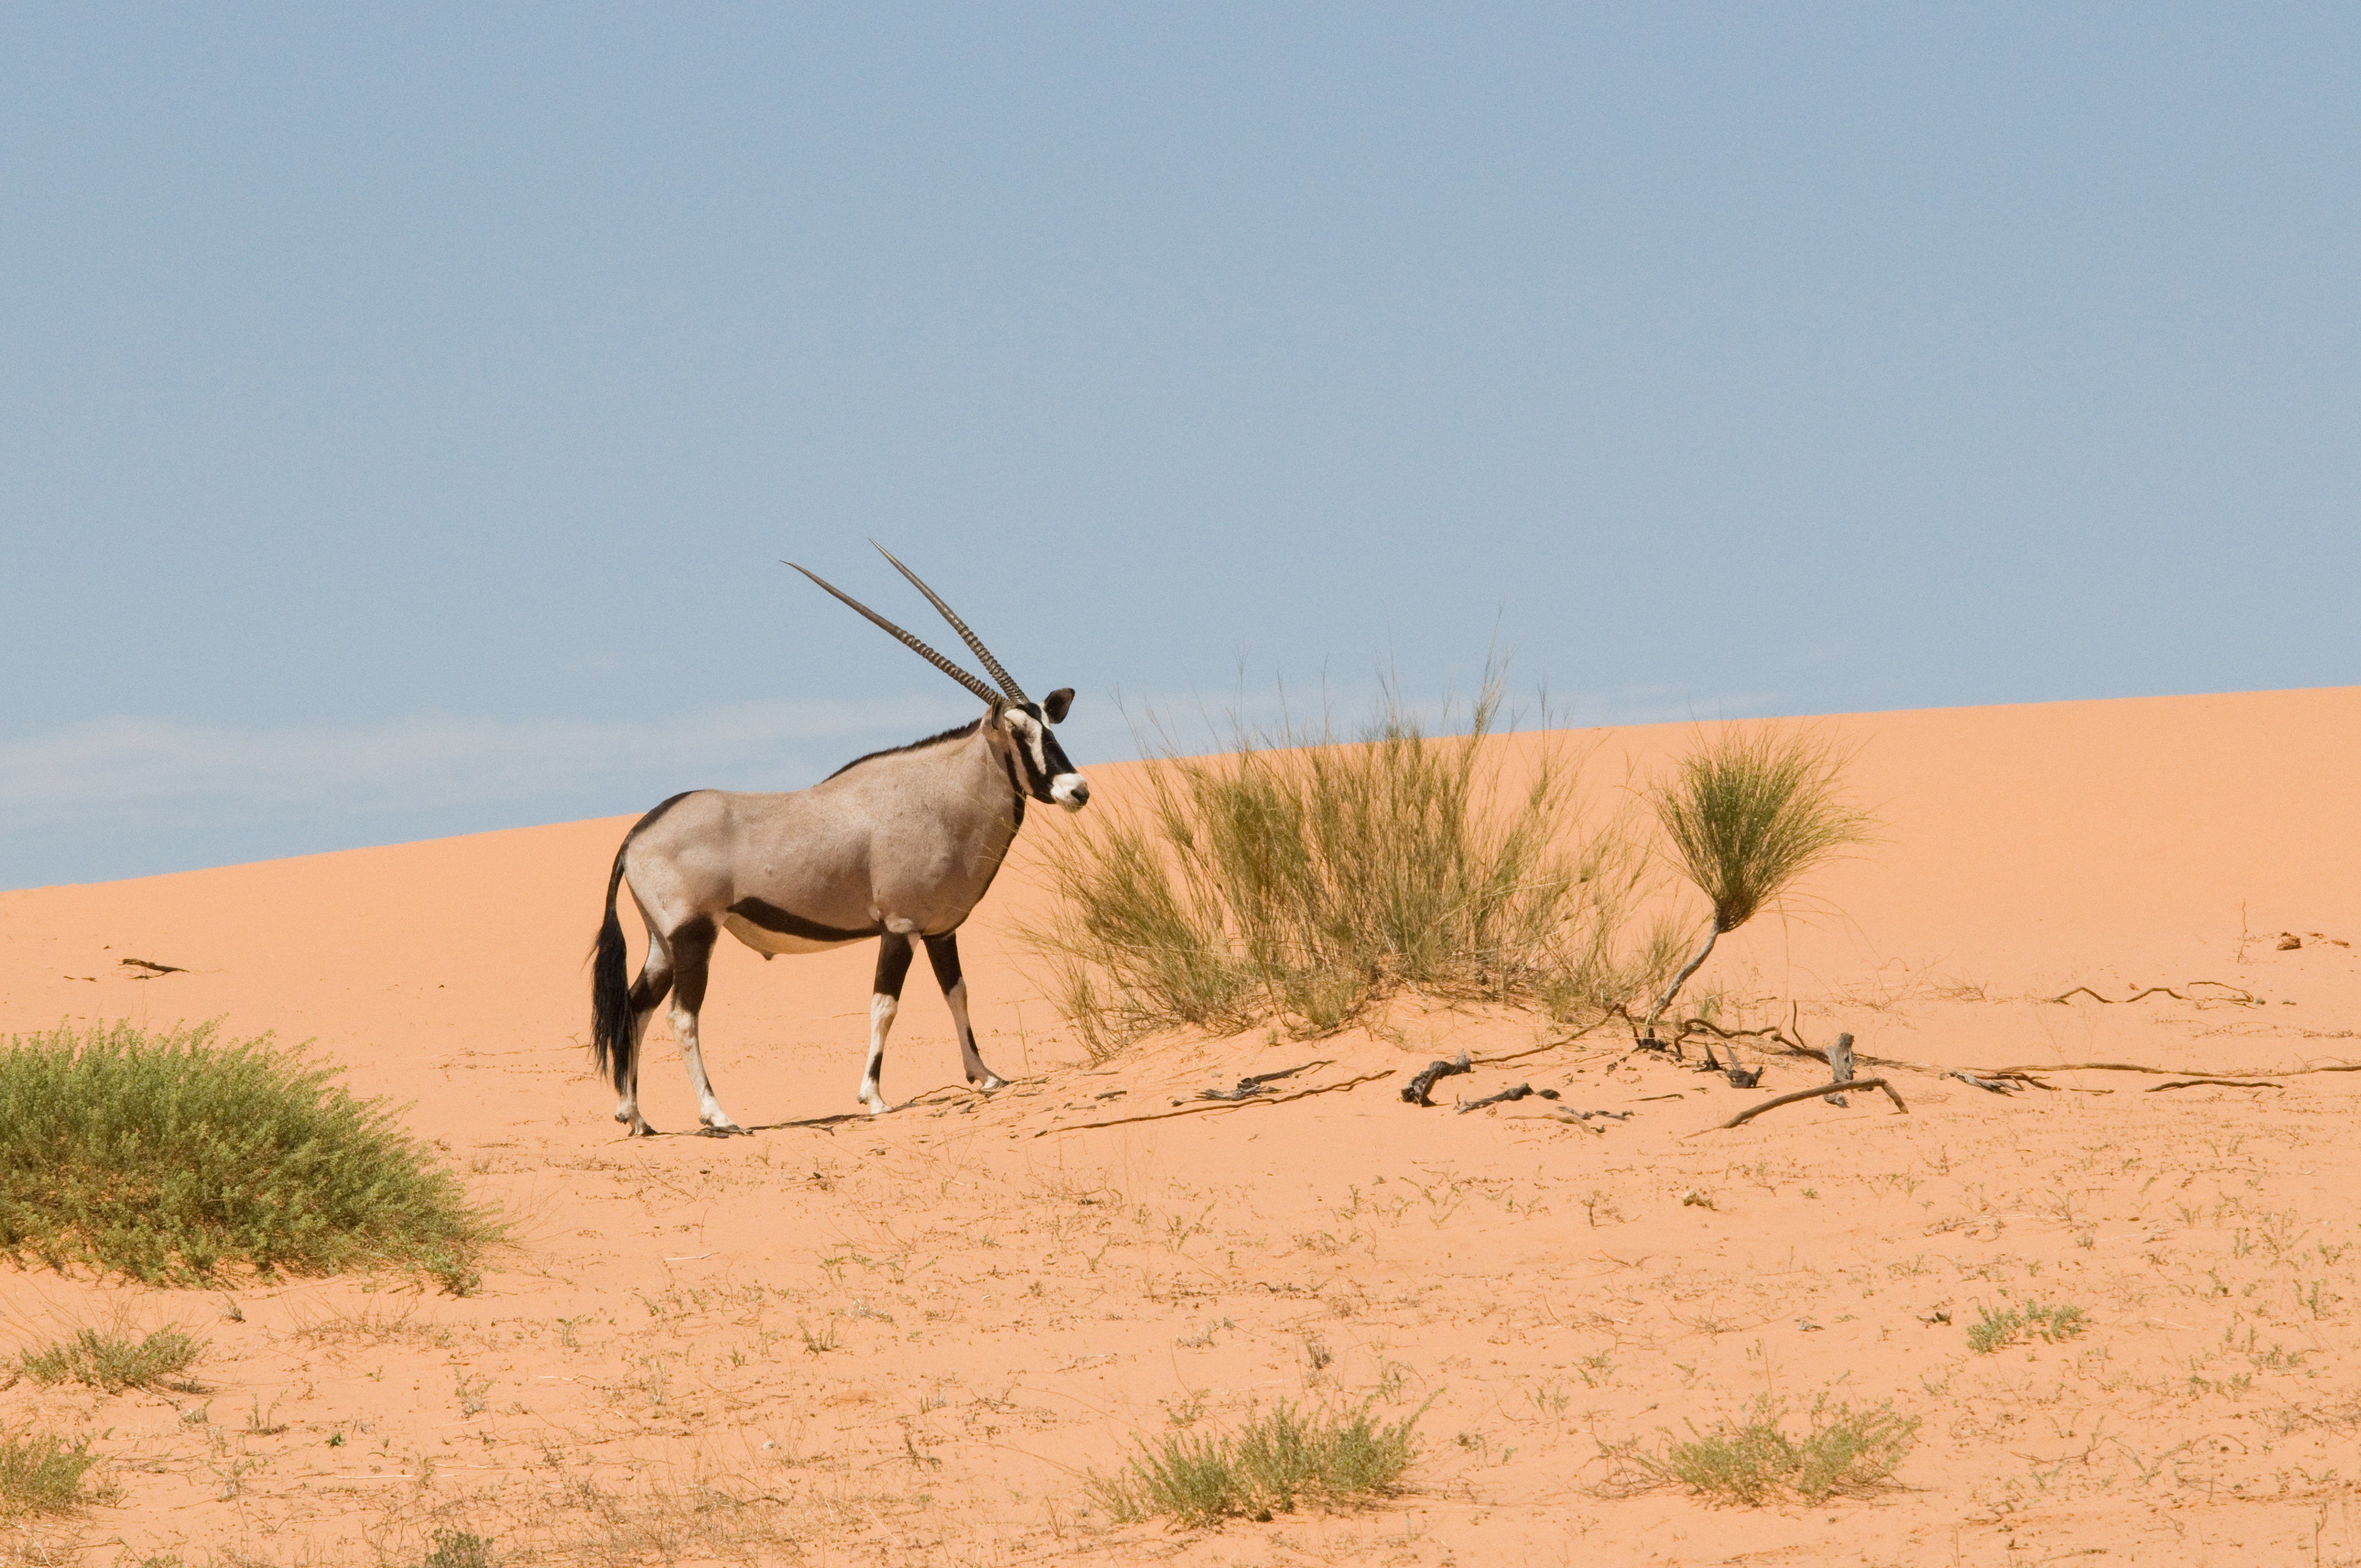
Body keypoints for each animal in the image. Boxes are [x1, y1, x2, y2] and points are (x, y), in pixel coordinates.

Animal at [588, 545, 1090, 1134]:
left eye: (1049, 725)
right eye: (1017, 733)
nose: (1076, 789)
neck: (942, 792)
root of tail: (635, 836)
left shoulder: (940, 930)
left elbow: (958, 993)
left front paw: (985, 1075)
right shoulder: (900, 927)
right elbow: (884, 1005)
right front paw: (873, 1096)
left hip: (662, 943)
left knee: (636, 1004)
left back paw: (635, 1115)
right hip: (693, 936)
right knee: (681, 1016)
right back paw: (717, 1114)